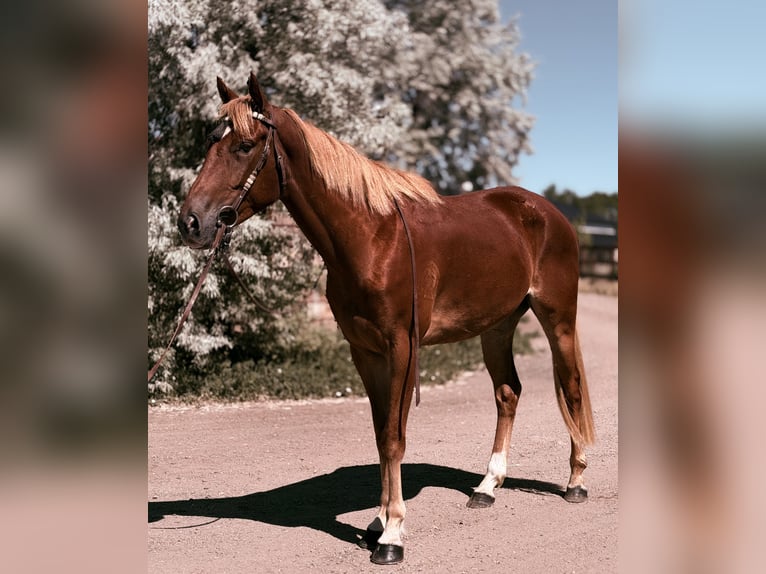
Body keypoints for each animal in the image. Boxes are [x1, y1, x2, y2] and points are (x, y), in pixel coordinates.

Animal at [177, 73, 595, 565]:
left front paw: (393, 534)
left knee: (571, 388)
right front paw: (377, 521)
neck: (373, 236)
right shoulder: (365, 350)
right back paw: (487, 487)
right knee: (508, 393)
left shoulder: (402, 347)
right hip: (497, 327)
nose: (191, 222)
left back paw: (576, 482)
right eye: (211, 142)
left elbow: (395, 436)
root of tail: (546, 212)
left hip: (558, 319)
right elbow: (380, 434)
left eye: (244, 145)